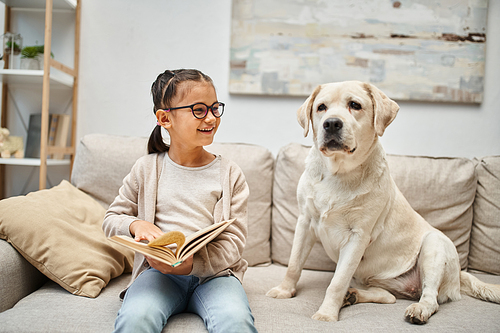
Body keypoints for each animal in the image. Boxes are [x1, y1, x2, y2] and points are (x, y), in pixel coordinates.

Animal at [268, 80, 498, 322]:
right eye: (321, 107)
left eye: (354, 105)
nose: (331, 123)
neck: (337, 173)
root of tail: (460, 275)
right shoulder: (305, 222)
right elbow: (294, 264)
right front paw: (284, 290)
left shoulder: (357, 236)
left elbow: (336, 282)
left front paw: (326, 314)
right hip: (370, 277)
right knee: (389, 297)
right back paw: (353, 296)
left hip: (433, 246)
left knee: (430, 296)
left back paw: (418, 310)